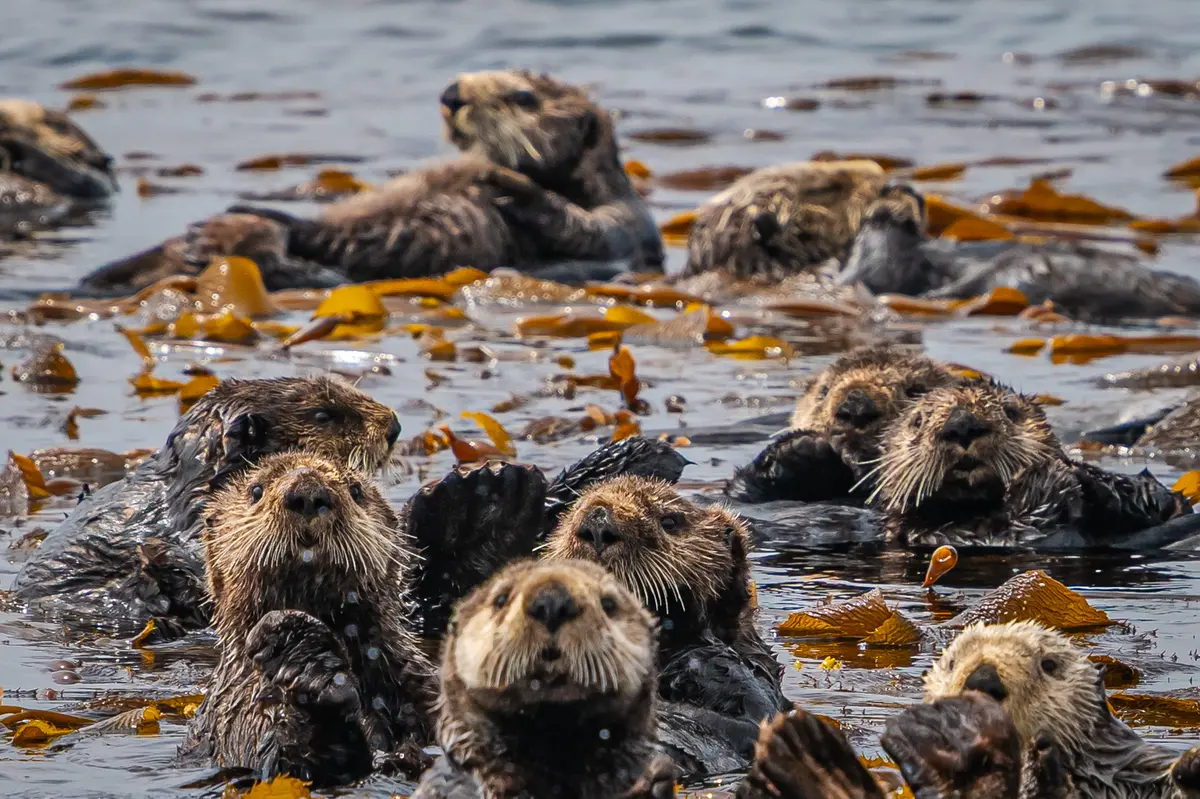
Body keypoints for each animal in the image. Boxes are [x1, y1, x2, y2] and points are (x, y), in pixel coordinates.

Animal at [183, 452, 432, 785]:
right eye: (256, 490)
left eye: (356, 491)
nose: (308, 493)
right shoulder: (239, 712)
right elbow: (291, 764)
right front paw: (304, 657)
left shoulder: (418, 686)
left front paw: (304, 655)